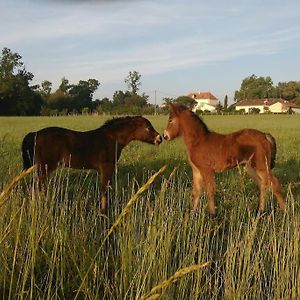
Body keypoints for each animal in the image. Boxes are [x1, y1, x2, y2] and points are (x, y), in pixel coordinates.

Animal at [22, 115, 162, 213]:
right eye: (148, 127)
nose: (160, 138)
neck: (112, 139)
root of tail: (35, 134)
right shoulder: (107, 167)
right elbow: (105, 190)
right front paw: (104, 212)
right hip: (44, 168)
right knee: (36, 187)